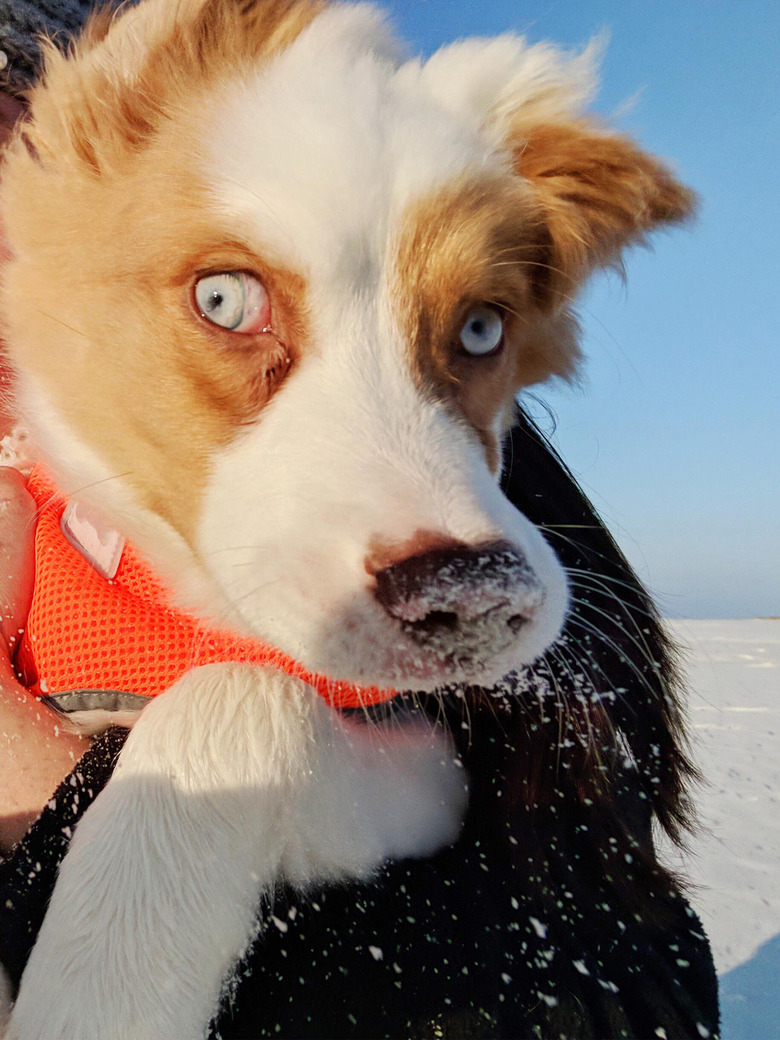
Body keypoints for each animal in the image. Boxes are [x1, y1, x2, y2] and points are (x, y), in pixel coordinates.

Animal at [0, 4, 694, 1035]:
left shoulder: (432, 767)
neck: (181, 609)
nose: (473, 598)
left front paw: (102, 989)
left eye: (483, 328)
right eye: (224, 299)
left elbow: (243, 699)